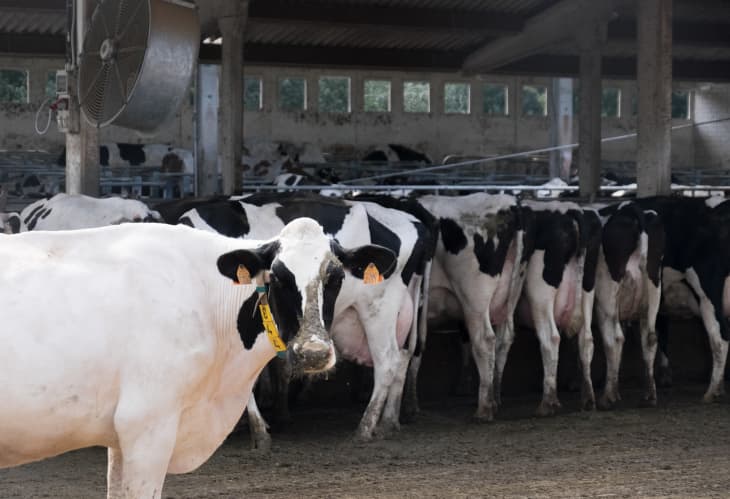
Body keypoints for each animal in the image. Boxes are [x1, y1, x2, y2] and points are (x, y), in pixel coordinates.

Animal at [175, 193, 435, 442]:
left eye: (337, 277)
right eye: (277, 277)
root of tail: (413, 222)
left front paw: (258, 431)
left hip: (379, 308)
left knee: (388, 361)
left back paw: (365, 428)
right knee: (404, 356)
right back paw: (388, 422)